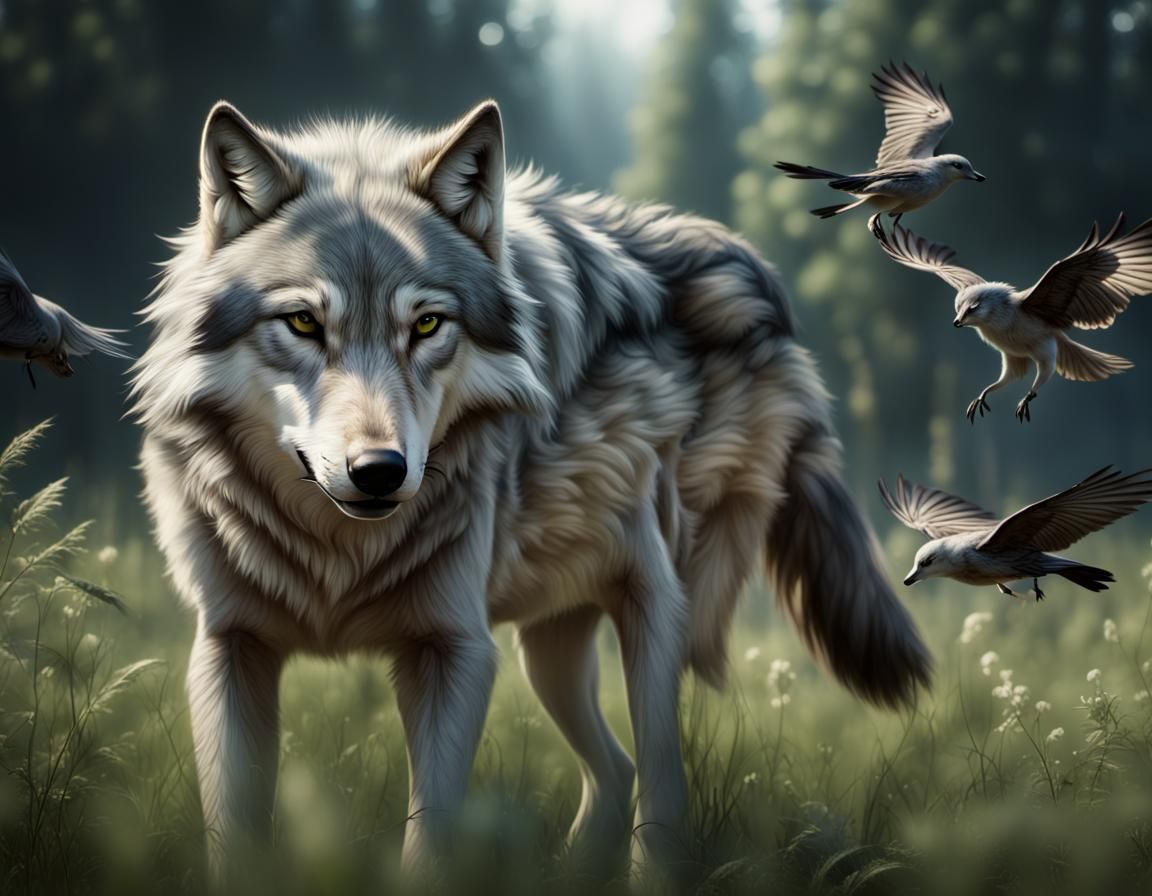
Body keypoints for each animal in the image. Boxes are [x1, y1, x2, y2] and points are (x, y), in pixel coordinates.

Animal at [132, 98, 932, 883]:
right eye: (302, 321)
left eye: (428, 324)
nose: (381, 470)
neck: (339, 550)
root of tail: (756, 272)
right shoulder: (229, 647)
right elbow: (233, 835)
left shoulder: (456, 649)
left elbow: (429, 842)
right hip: (549, 649)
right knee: (613, 770)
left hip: (655, 614)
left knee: (660, 787)